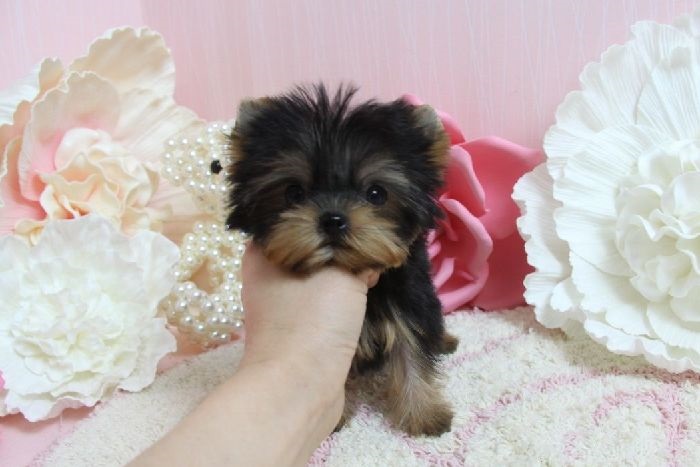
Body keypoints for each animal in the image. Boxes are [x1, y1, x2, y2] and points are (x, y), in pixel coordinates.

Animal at [224, 84, 457, 436]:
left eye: (376, 194)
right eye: (294, 192)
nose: (333, 219)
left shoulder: (409, 302)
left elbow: (412, 351)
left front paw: (424, 413)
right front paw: (336, 415)